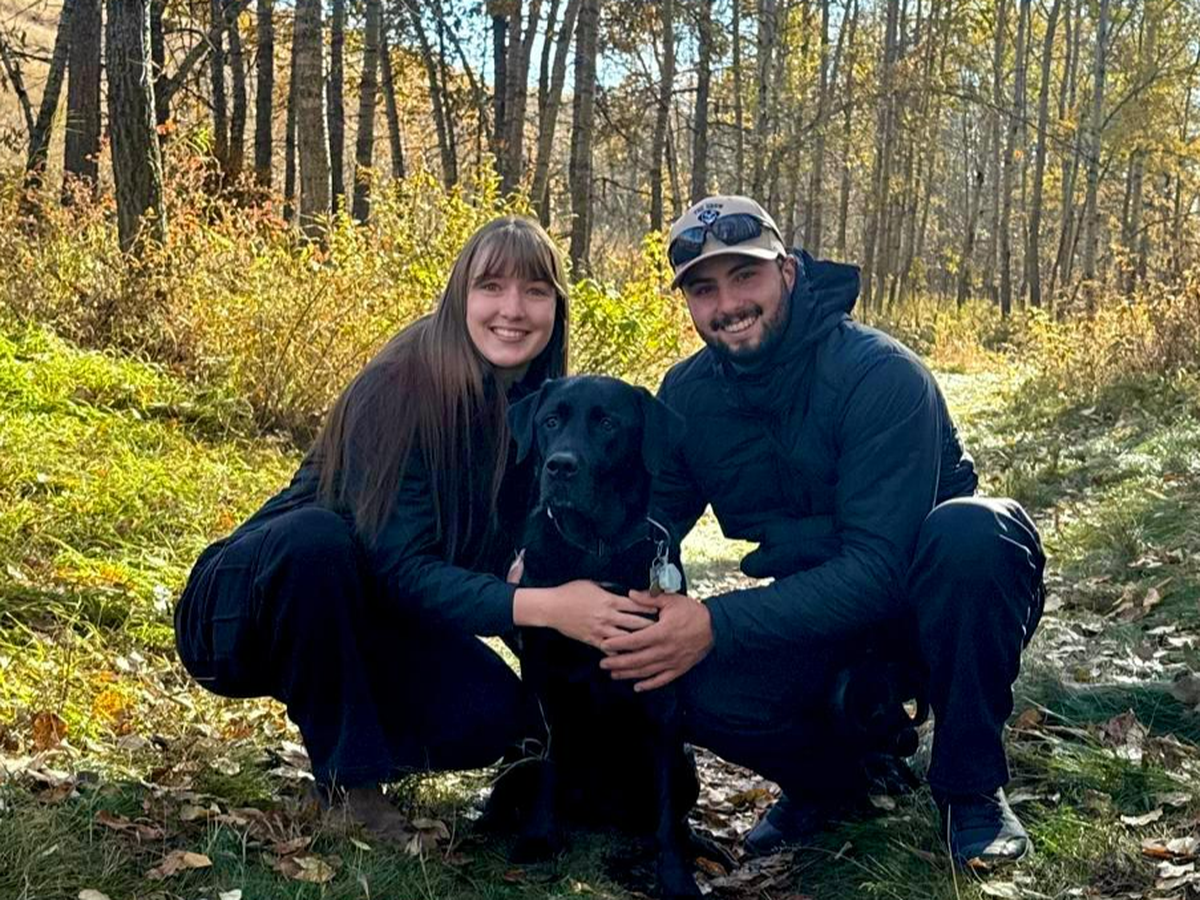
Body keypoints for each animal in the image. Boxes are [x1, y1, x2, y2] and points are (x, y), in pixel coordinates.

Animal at [505, 375, 721, 900]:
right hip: (521, 761)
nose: (561, 466)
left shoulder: (661, 697)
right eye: (550, 421)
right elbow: (552, 765)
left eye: (607, 423)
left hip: (687, 763)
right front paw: (538, 838)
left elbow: (667, 815)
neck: (594, 551)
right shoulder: (547, 685)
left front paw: (676, 877)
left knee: (673, 814)